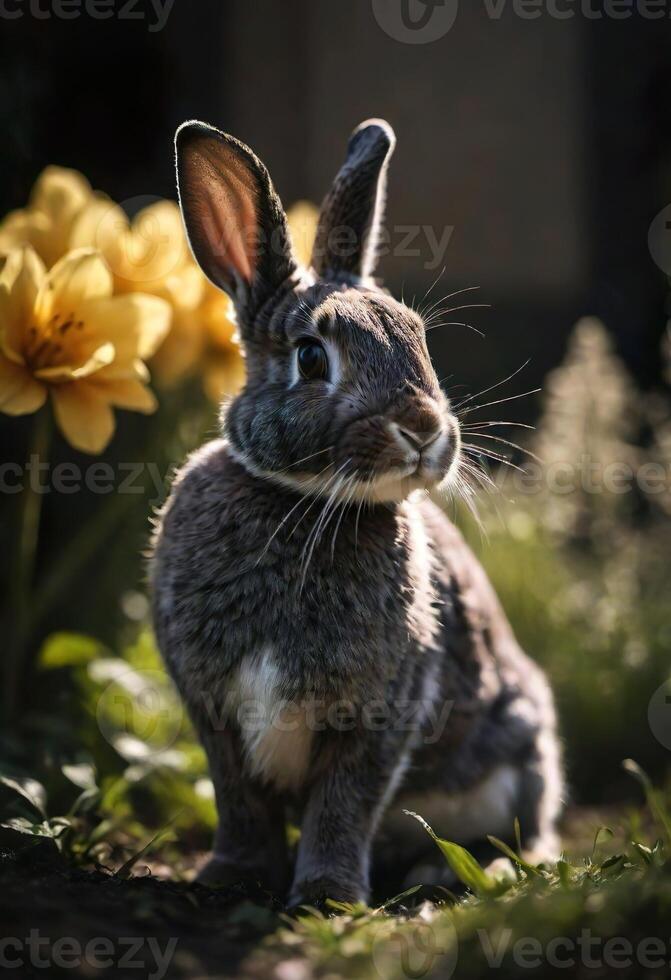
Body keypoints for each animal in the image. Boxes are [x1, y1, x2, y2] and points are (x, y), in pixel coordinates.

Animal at [151, 118, 560, 908]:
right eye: (312, 358)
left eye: (418, 339)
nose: (425, 430)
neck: (303, 503)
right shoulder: (213, 711)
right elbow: (238, 802)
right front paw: (231, 875)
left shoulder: (381, 711)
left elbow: (342, 806)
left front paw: (326, 896)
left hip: (519, 754)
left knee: (533, 836)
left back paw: (454, 871)